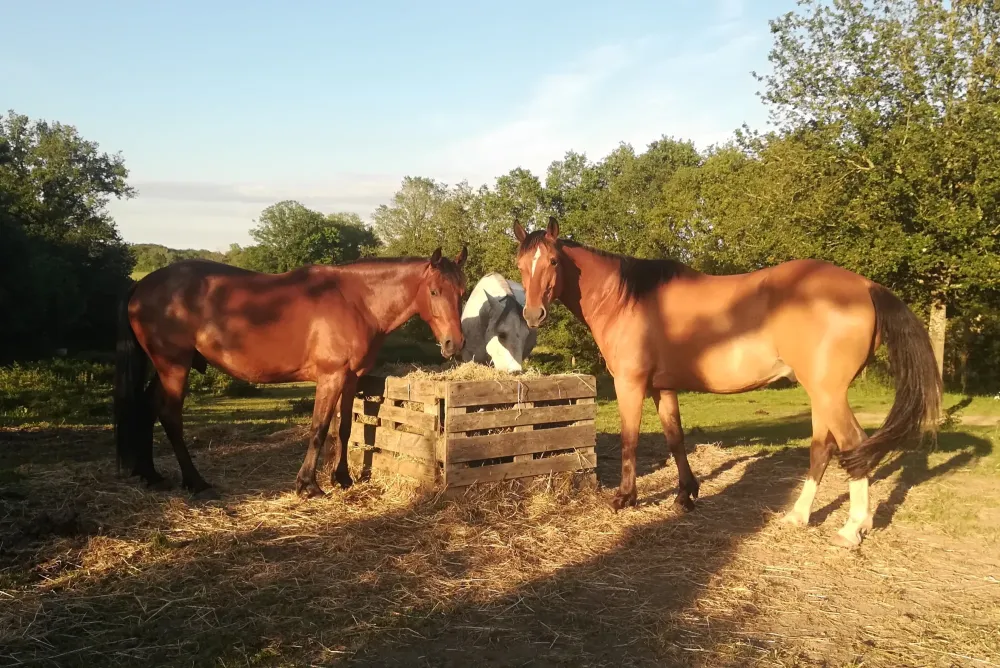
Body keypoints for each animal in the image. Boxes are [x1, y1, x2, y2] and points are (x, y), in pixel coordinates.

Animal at [114, 247, 468, 499]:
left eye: (462, 291)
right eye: (434, 291)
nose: (454, 343)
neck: (357, 301)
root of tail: (141, 286)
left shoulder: (350, 378)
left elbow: (343, 430)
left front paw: (342, 478)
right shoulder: (330, 378)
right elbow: (319, 429)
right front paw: (308, 485)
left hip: (164, 367)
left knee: (147, 407)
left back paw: (151, 475)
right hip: (174, 366)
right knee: (170, 415)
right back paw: (196, 482)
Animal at [512, 218, 941, 548]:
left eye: (553, 260)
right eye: (520, 265)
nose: (533, 315)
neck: (627, 300)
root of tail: (866, 286)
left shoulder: (631, 385)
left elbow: (630, 440)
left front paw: (625, 498)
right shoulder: (663, 387)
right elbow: (675, 438)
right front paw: (685, 496)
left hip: (829, 393)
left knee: (854, 445)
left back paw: (852, 529)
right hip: (822, 394)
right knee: (823, 449)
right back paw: (798, 516)